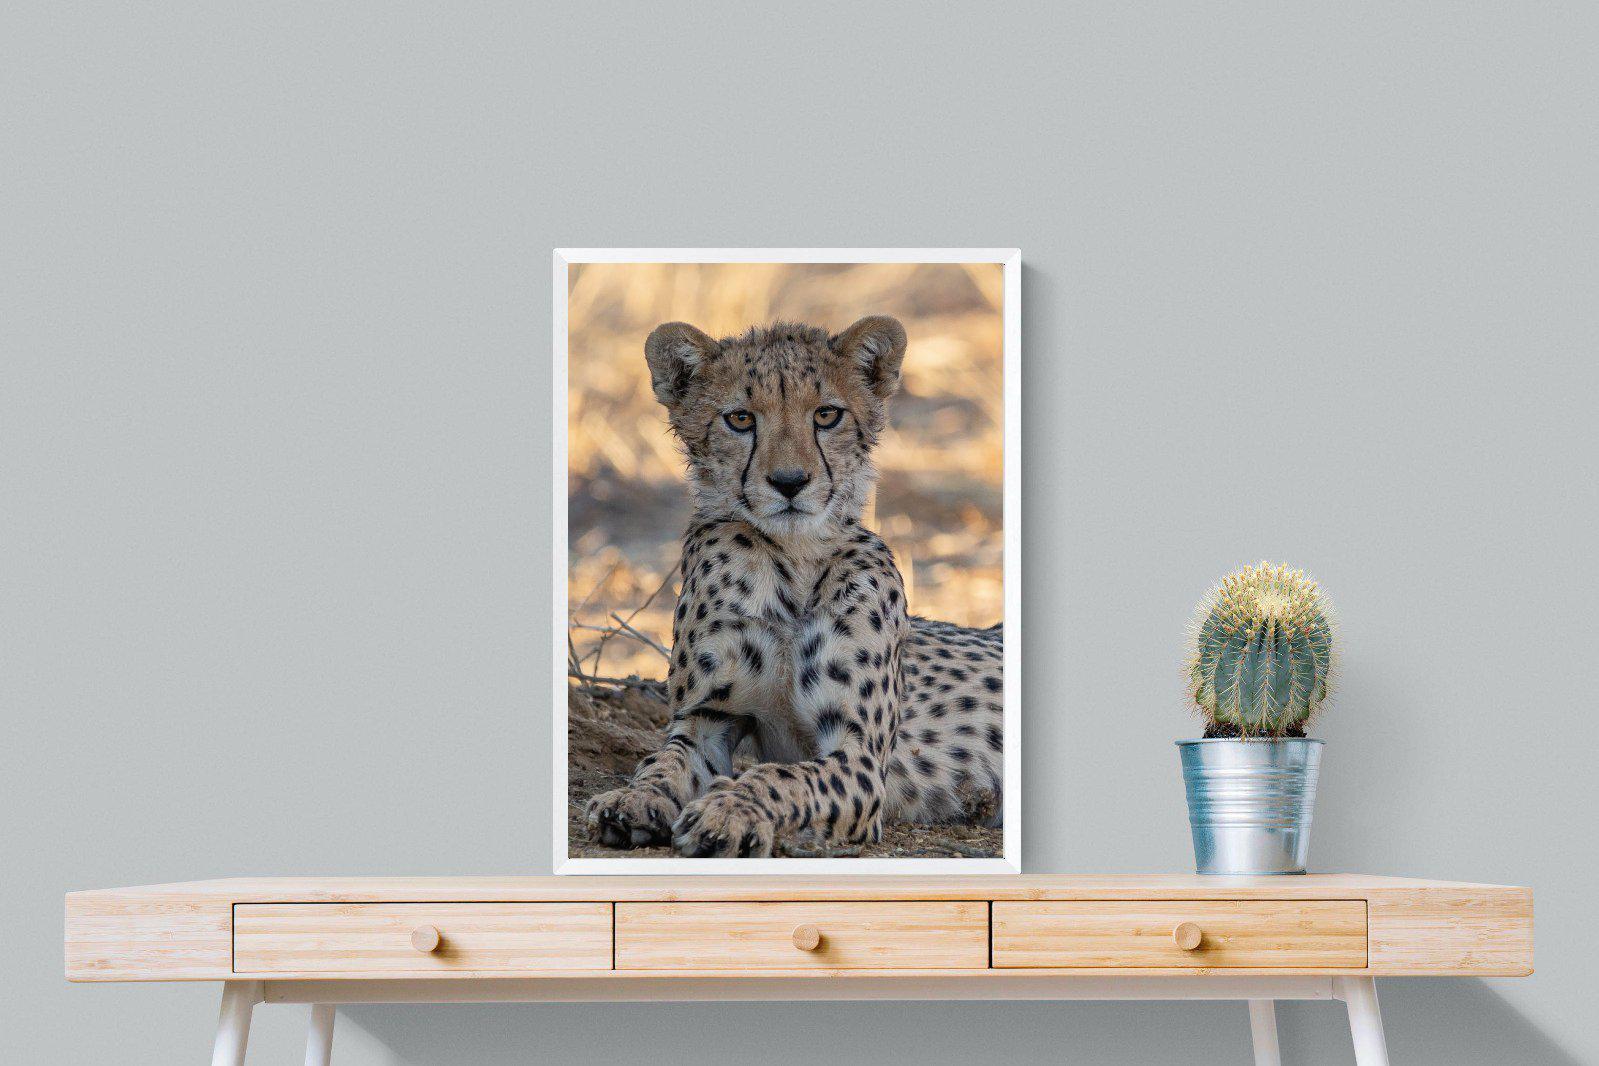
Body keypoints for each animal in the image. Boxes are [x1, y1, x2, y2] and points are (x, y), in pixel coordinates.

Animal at [583, 315, 1003, 858]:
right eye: (740, 419)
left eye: (826, 414)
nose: (789, 482)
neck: (793, 561)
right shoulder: (706, 720)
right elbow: (663, 762)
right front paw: (633, 799)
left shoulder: (859, 756)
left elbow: (781, 777)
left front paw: (729, 811)